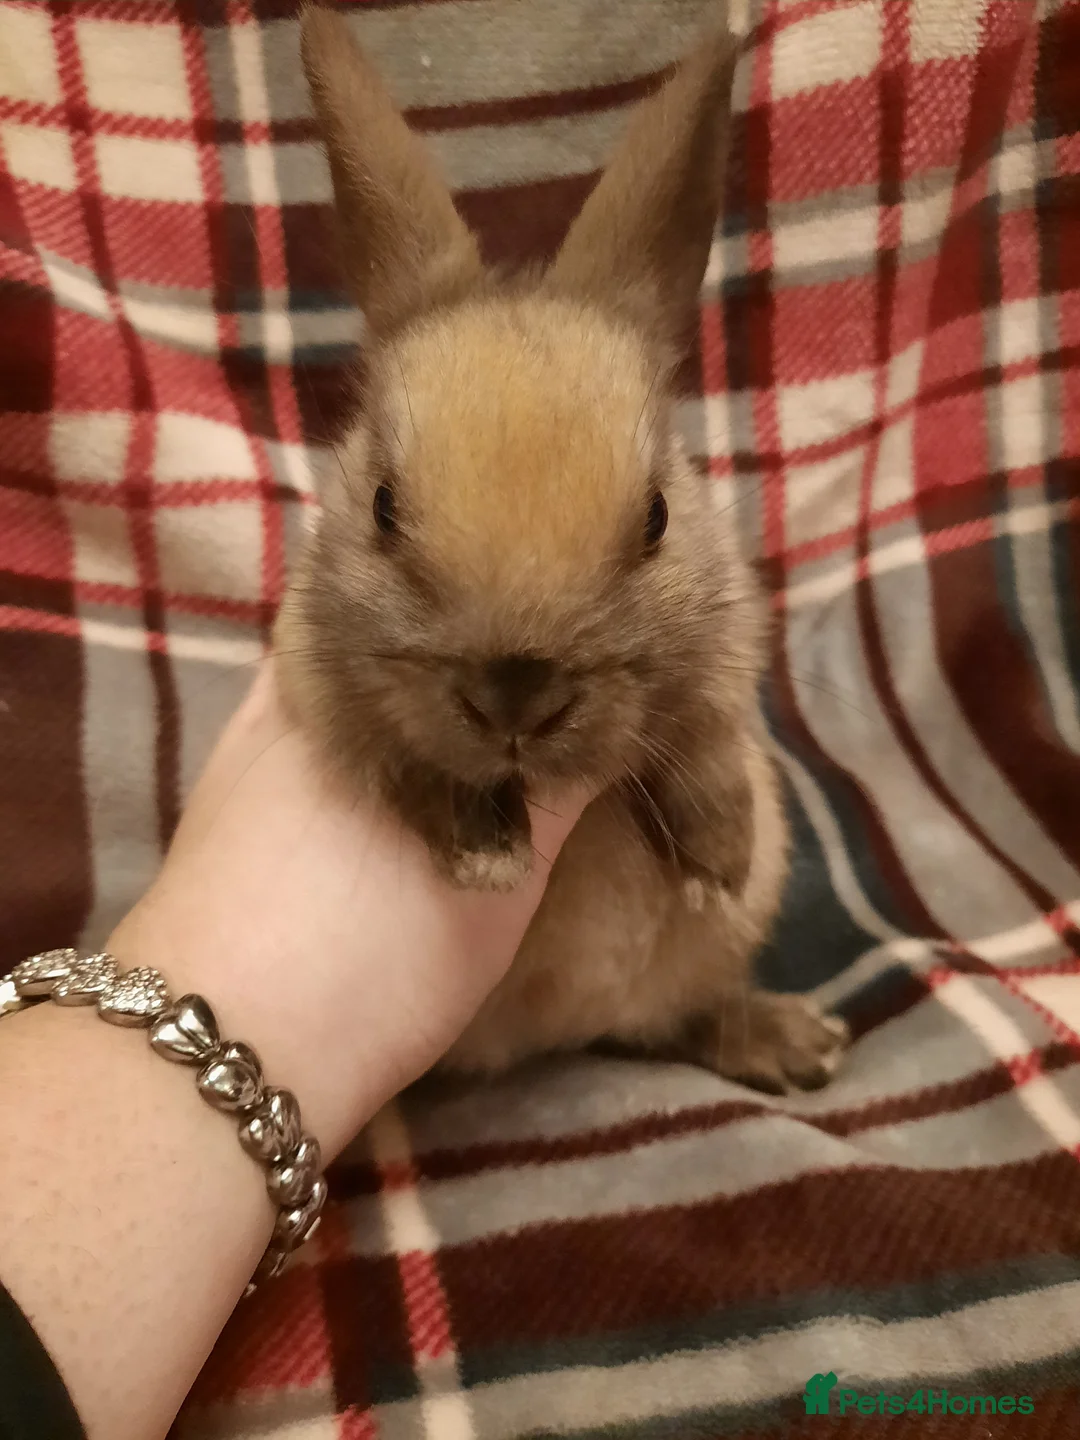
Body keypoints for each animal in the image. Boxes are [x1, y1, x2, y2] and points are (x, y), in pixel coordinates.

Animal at [274, 3, 849, 1093]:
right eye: (383, 507)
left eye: (658, 516)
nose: (517, 698)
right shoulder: (328, 706)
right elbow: (414, 769)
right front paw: (487, 852)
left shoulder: (724, 659)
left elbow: (707, 738)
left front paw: (720, 856)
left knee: (679, 1021)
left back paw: (796, 1044)